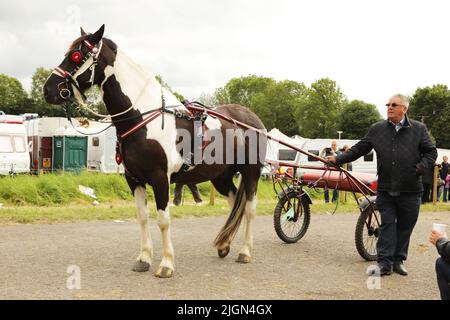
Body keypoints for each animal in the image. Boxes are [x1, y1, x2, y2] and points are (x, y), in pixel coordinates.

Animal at [42, 25, 266, 278]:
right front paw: (144, 258)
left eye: (76, 55)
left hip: (251, 172)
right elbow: (142, 217)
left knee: (249, 209)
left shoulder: (160, 179)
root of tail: (251, 119)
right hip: (221, 176)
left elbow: (163, 220)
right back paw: (225, 245)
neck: (142, 119)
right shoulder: (134, 179)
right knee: (234, 204)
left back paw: (245, 251)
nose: (48, 89)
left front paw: (166, 264)